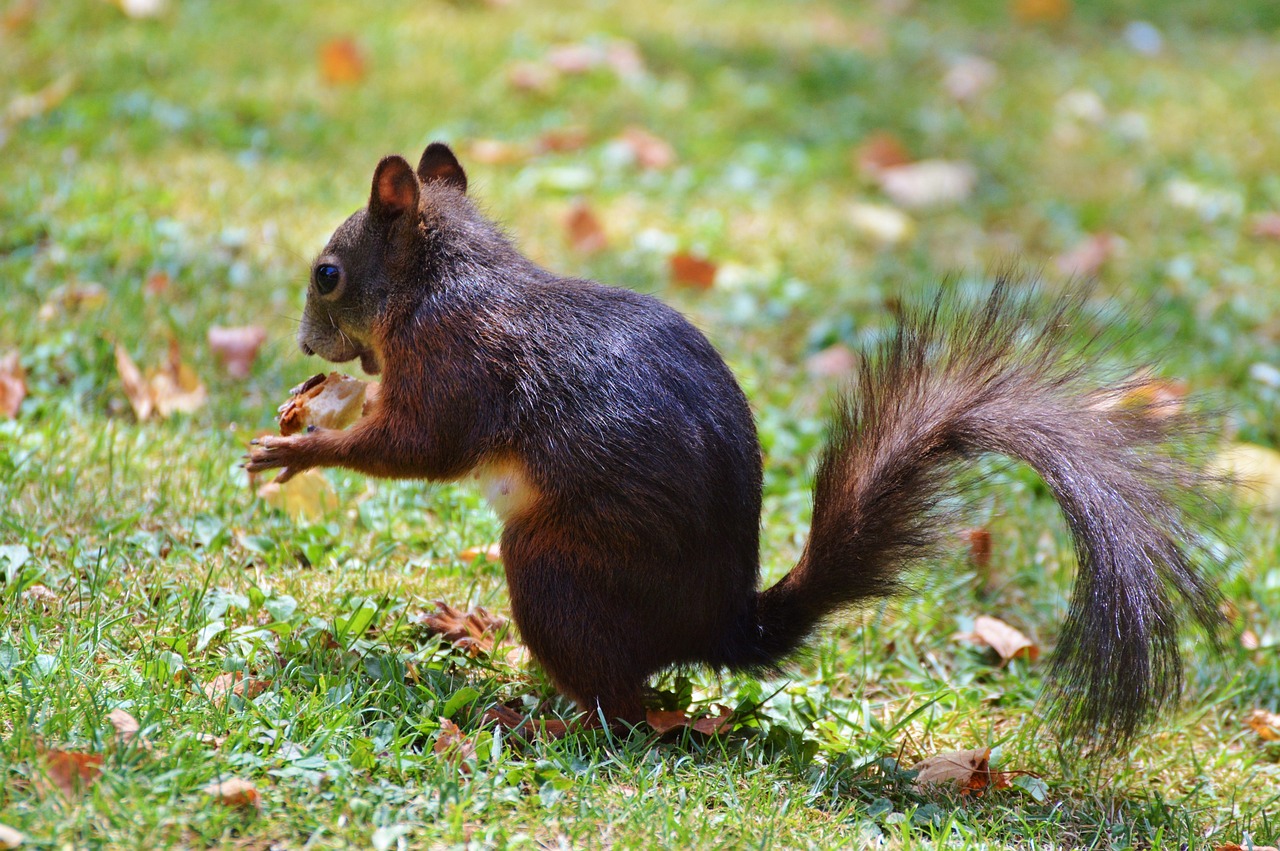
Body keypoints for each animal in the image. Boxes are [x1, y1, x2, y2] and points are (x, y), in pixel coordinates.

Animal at [247, 142, 1218, 742]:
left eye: (327, 274)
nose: (304, 345)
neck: (442, 281)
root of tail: (721, 626)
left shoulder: (455, 364)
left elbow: (419, 449)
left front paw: (297, 449)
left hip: (555, 564)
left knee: (623, 707)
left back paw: (535, 716)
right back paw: (477, 634)